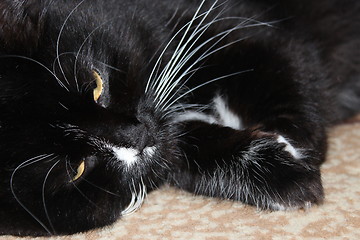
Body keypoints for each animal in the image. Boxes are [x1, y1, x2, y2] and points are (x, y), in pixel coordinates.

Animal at [0, 0, 358, 236]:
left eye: (97, 86)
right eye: (75, 169)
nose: (137, 136)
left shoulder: (234, 25)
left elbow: (286, 60)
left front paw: (294, 147)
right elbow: (180, 151)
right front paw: (282, 174)